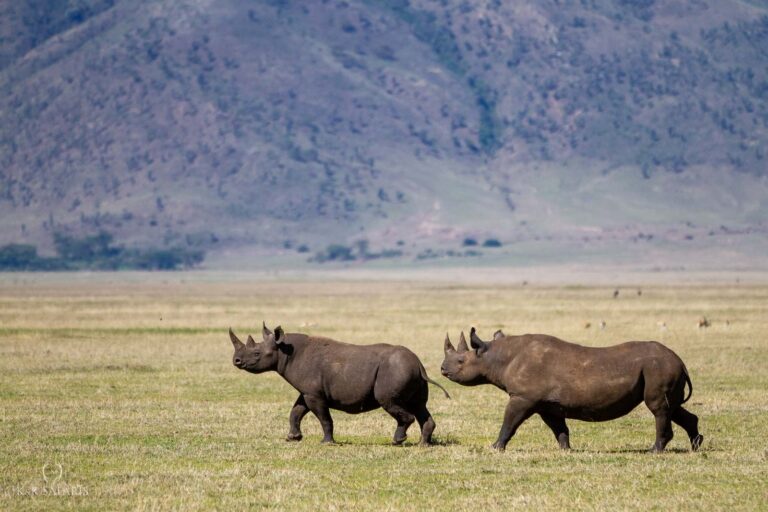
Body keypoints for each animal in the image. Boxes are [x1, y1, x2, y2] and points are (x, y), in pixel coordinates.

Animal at [229, 323, 449, 445]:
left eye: (256, 353)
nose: (236, 361)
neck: (284, 350)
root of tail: (418, 364)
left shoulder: (314, 394)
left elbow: (324, 418)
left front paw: (326, 442)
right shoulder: (308, 391)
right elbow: (296, 411)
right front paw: (292, 437)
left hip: (395, 370)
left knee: (390, 402)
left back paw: (397, 441)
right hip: (408, 371)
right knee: (419, 406)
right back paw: (423, 444)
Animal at [441, 328, 703, 452]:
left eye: (461, 361)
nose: (443, 369)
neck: (496, 357)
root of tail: (680, 361)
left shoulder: (523, 397)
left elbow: (510, 422)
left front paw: (496, 447)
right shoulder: (546, 404)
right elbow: (559, 428)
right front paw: (566, 450)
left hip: (658, 368)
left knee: (658, 408)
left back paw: (654, 451)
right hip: (662, 368)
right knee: (672, 408)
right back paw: (695, 446)